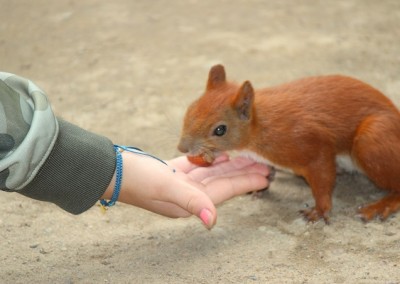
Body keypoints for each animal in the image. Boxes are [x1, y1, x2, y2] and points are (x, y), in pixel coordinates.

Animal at [177, 65, 400, 224]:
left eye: (220, 130)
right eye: (190, 109)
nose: (182, 148)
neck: (258, 131)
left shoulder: (309, 143)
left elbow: (322, 177)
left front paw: (319, 210)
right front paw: (263, 184)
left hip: (371, 141)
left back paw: (381, 206)